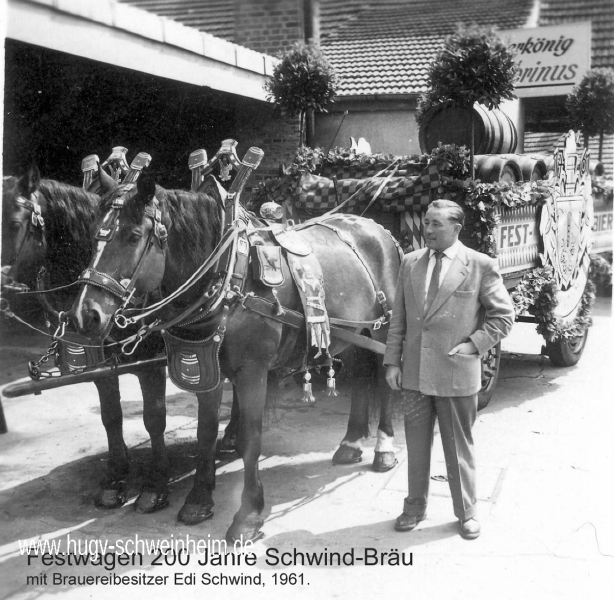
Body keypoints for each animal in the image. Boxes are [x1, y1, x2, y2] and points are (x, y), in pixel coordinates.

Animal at [1, 166, 170, 512]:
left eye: (14, 224)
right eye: (93, 238)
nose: (85, 316)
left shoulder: (151, 361)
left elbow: (154, 418)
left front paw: (156, 485)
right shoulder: (99, 366)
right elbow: (111, 416)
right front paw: (115, 477)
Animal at [68, 172, 404, 544]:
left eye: (133, 236)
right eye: (92, 235)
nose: (86, 315)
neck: (229, 278)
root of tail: (376, 228)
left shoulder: (252, 372)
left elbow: (250, 439)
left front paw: (249, 514)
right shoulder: (206, 368)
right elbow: (205, 432)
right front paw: (199, 500)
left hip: (385, 330)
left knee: (385, 382)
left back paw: (384, 449)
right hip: (354, 332)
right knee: (360, 376)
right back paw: (351, 441)